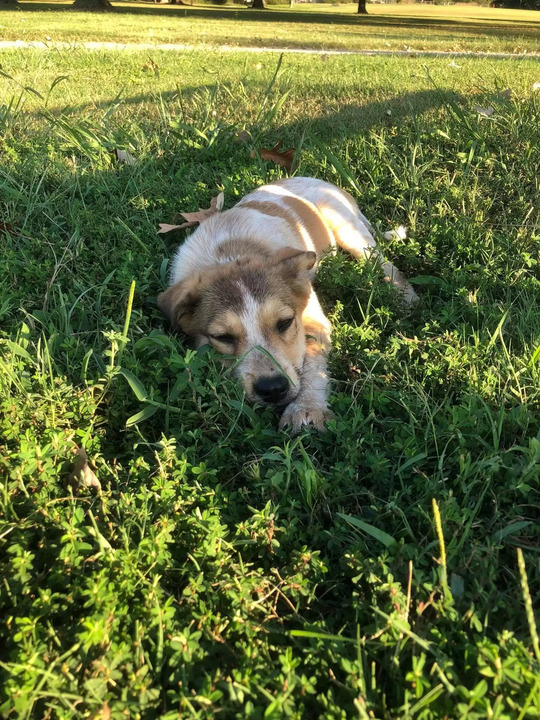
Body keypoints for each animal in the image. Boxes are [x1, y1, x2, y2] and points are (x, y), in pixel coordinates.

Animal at [156, 177, 418, 434]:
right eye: (223, 337)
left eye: (284, 323)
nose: (272, 389)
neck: (231, 253)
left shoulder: (315, 322)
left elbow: (312, 362)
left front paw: (307, 406)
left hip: (350, 230)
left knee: (384, 264)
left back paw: (405, 296)